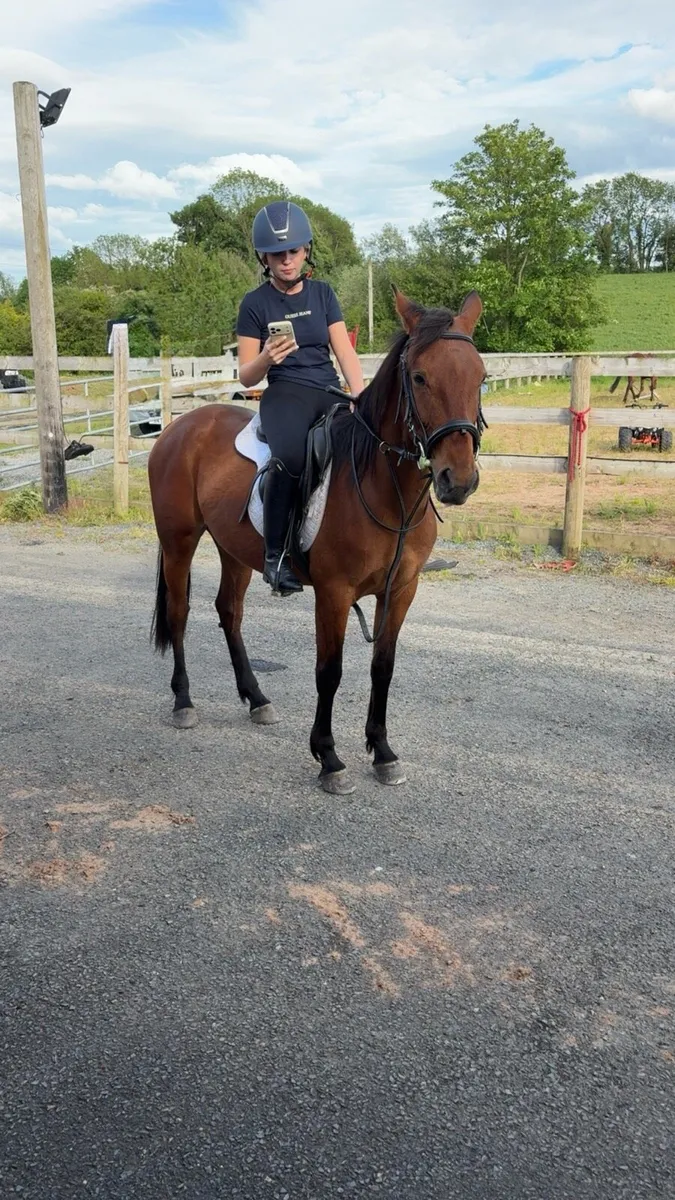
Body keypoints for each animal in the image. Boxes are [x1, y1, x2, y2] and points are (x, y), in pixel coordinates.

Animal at [148, 289, 486, 795]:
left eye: (481, 377)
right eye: (420, 377)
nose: (458, 480)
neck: (384, 488)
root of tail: (180, 427)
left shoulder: (401, 590)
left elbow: (382, 667)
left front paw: (382, 752)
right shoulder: (334, 592)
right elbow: (330, 672)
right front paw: (329, 758)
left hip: (234, 551)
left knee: (229, 612)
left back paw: (256, 698)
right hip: (178, 543)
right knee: (179, 614)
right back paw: (184, 702)